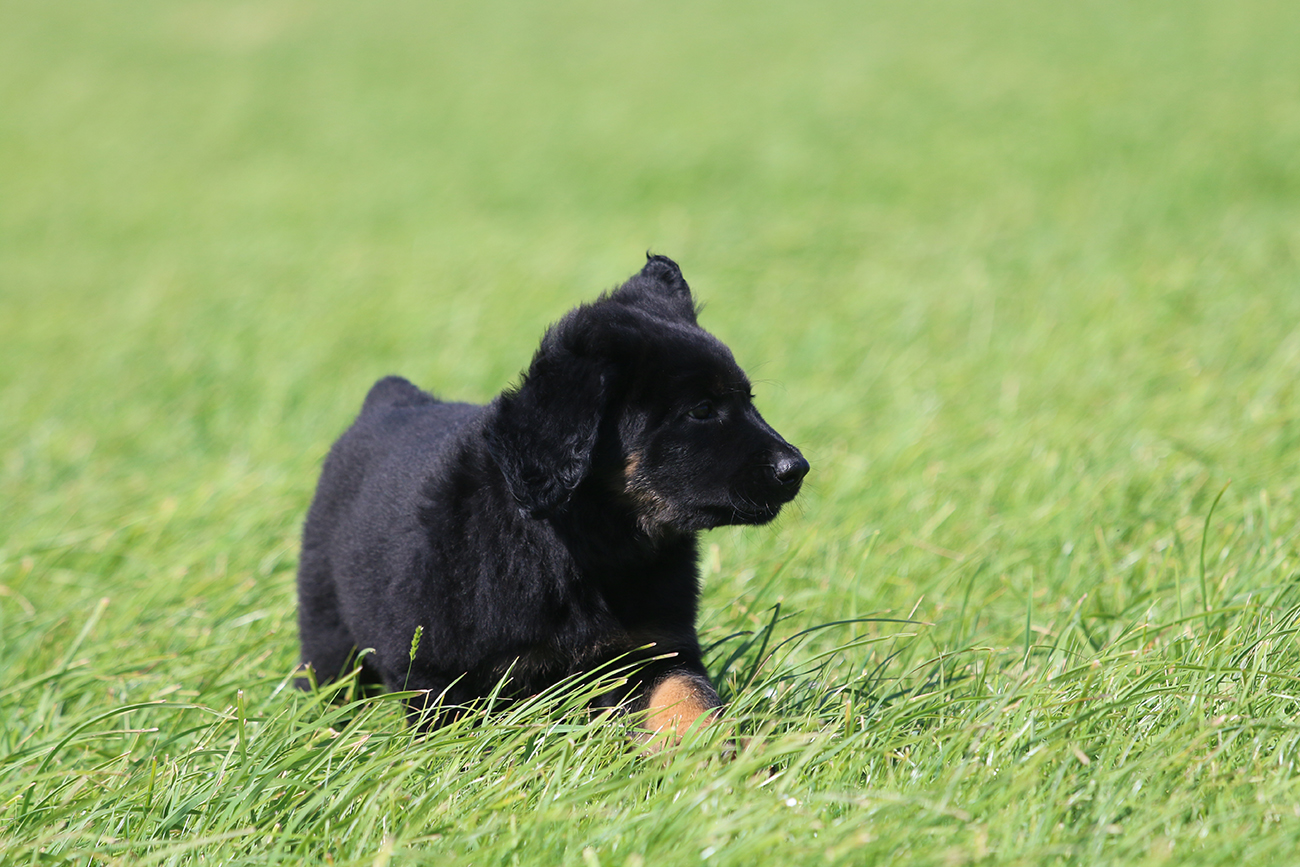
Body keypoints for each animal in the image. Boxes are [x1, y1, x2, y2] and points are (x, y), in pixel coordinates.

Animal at [295, 255, 808, 738]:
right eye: (701, 410)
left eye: (748, 400)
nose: (797, 469)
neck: (594, 544)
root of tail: (391, 397)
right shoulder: (442, 675)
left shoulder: (656, 649)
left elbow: (688, 702)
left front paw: (717, 756)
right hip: (328, 631)